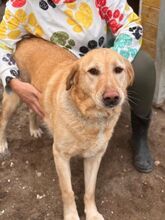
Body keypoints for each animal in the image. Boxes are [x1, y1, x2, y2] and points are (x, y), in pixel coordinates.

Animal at [0, 38, 133, 219]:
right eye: (93, 71)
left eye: (118, 70)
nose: (112, 97)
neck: (91, 117)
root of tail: (26, 39)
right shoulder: (60, 155)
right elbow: (67, 191)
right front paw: (71, 215)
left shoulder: (94, 157)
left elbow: (90, 190)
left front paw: (92, 213)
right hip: (13, 98)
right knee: (3, 121)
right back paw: (2, 145)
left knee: (31, 110)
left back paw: (34, 128)